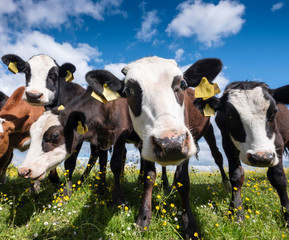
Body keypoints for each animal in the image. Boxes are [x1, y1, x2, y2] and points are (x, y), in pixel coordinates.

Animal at [84, 57, 222, 239]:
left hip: (208, 130)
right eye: (128, 90)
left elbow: (183, 180)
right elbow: (149, 176)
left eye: (183, 83)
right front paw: (143, 218)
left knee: (218, 156)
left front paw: (190, 224)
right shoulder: (143, 142)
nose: (171, 143)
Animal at [194, 80, 289, 227]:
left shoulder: (277, 144)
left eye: (274, 112)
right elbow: (236, 176)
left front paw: (287, 215)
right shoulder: (227, 144)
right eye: (230, 115)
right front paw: (236, 213)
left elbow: (278, 178)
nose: (261, 157)